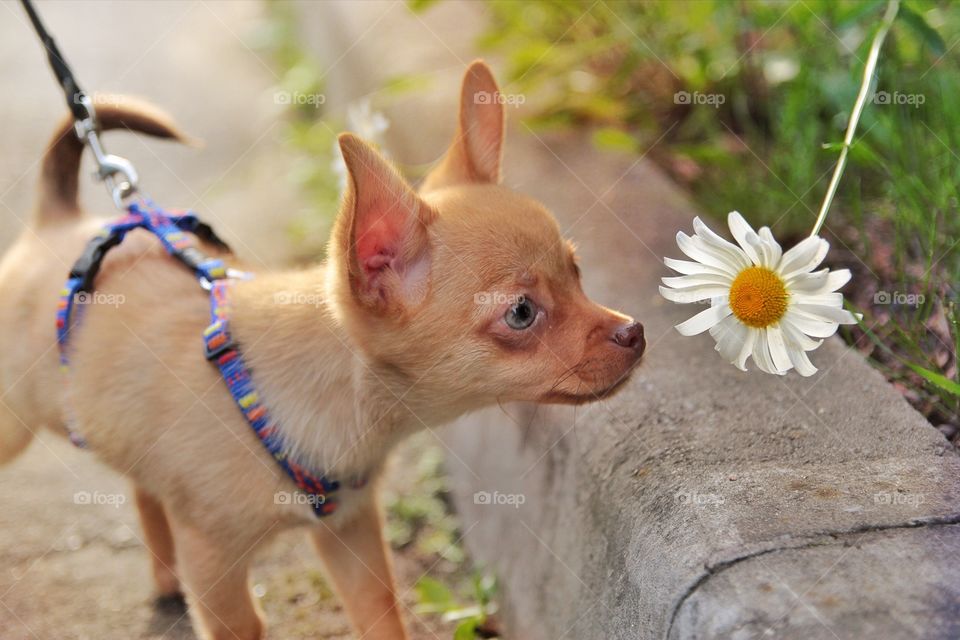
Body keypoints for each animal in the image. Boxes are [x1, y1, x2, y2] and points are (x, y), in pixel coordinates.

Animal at [1, 61, 644, 640]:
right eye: (521, 313)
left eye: (578, 272)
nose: (636, 332)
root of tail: (57, 220)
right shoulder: (215, 565)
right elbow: (245, 624)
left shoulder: (349, 532)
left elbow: (380, 615)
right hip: (14, 429)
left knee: (143, 487)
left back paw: (163, 577)